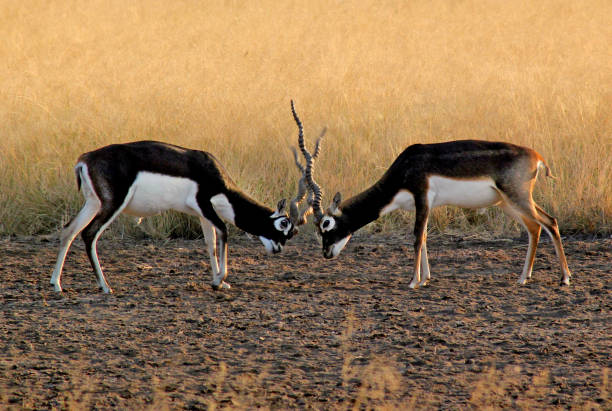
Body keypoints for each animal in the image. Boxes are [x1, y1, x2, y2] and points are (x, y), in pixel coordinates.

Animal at [50, 141, 314, 292]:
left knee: (69, 230)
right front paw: (219, 280)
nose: (277, 249)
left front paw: (219, 280)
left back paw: (56, 284)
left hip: (93, 203)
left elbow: (210, 243)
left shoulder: (201, 215)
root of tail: (85, 159)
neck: (213, 175)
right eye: (284, 224)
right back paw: (105, 286)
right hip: (112, 205)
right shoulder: (205, 206)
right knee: (89, 234)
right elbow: (224, 232)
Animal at [290, 103, 572, 290]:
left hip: (517, 198)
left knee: (549, 223)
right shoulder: (426, 204)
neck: (405, 166)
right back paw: (525, 277)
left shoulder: (421, 197)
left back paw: (564, 278)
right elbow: (425, 237)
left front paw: (413, 281)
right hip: (508, 203)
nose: (326, 253)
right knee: (537, 227)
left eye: (327, 225)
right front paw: (425, 278)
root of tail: (537, 157)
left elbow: (417, 237)